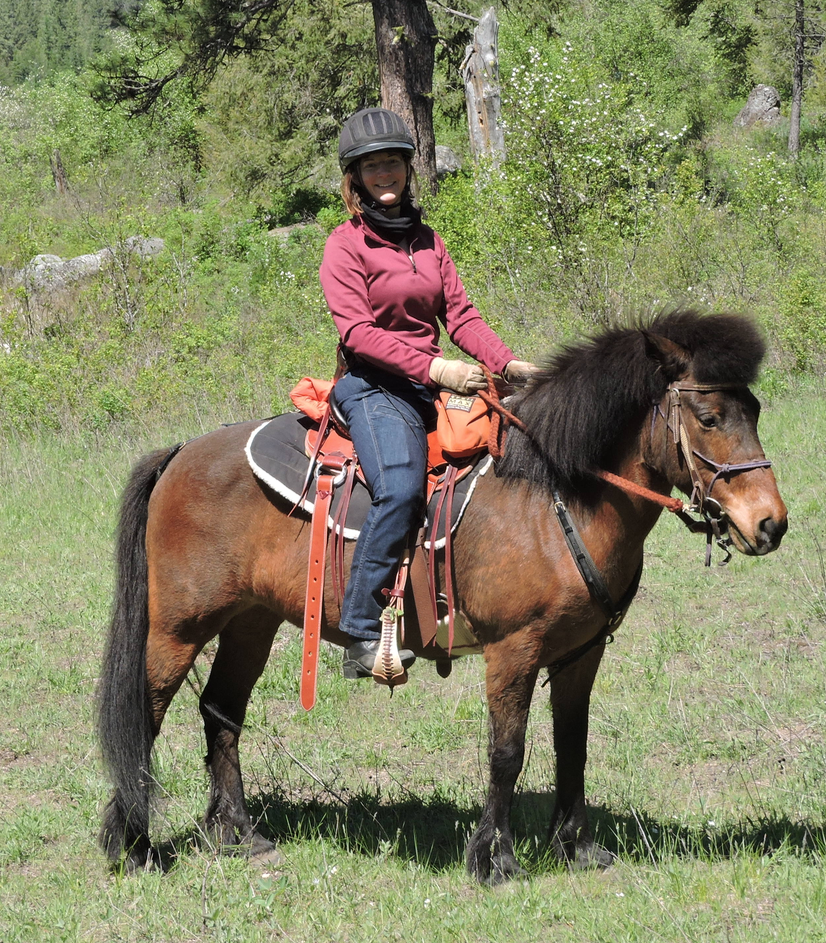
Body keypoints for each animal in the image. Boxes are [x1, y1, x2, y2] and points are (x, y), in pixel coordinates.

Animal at [96, 310, 784, 884]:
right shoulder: (514, 650)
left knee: (221, 711)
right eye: (709, 418)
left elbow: (573, 743)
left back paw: (238, 833)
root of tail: (180, 453)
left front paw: (578, 847)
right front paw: (494, 858)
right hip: (177, 628)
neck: (552, 495)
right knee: (144, 717)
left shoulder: (581, 652)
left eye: (753, 409)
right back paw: (134, 846)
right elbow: (507, 751)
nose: (770, 523)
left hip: (250, 621)